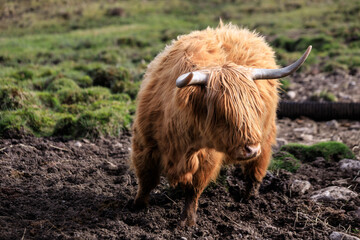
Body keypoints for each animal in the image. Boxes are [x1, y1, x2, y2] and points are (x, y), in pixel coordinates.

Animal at [131, 23, 310, 227]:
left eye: (255, 108)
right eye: (222, 112)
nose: (251, 149)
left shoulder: (207, 158)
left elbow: (194, 189)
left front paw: (187, 222)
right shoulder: (145, 146)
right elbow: (146, 179)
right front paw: (137, 206)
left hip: (265, 135)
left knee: (256, 168)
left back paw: (249, 197)